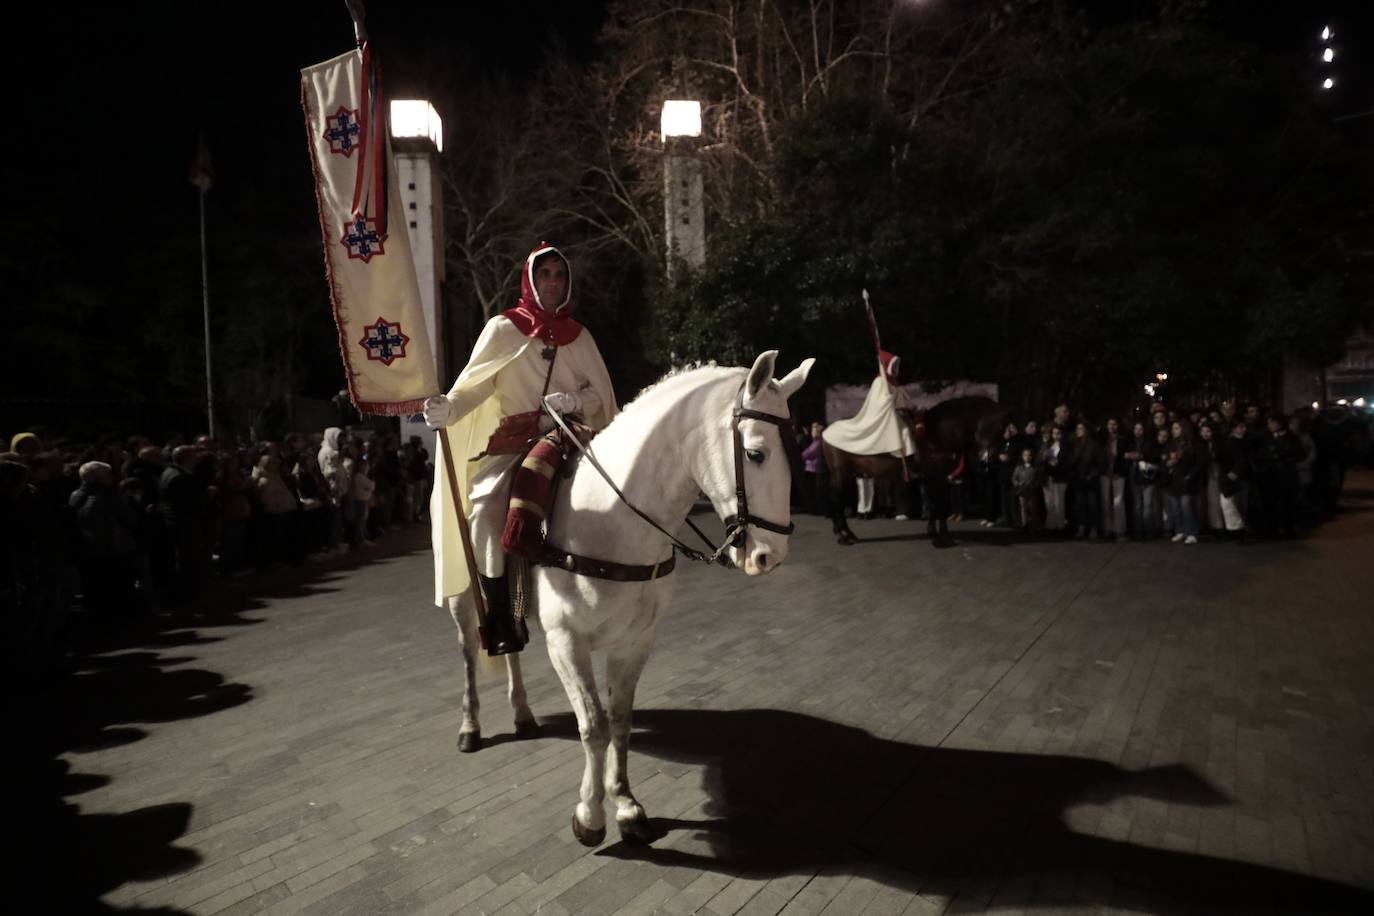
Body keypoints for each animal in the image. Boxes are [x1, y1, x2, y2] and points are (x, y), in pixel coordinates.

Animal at [447, 348, 813, 845]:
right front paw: (589, 815)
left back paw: (522, 713)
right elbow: (593, 725)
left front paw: (625, 805)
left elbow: (619, 719)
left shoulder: (636, 640)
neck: (609, 519)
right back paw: (470, 726)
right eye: (756, 453)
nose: (769, 555)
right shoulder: (566, 643)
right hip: (465, 594)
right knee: (471, 649)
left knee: (512, 648)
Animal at [818, 395, 1016, 552]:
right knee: (836, 500)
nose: (988, 463)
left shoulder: (934, 479)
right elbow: (939, 506)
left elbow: (935, 506)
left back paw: (846, 533)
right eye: (999, 428)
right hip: (841, 474)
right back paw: (843, 535)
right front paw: (942, 538)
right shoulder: (937, 478)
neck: (938, 434)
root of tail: (826, 431)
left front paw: (935, 533)